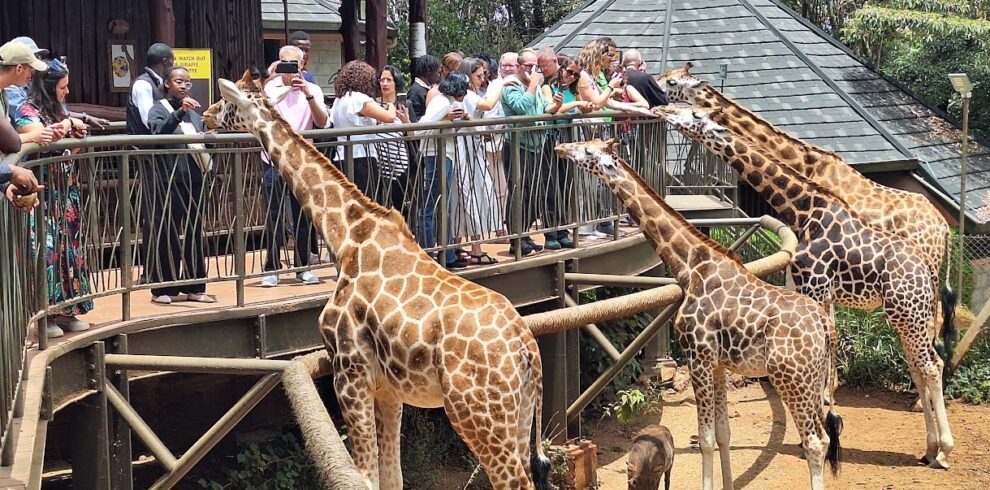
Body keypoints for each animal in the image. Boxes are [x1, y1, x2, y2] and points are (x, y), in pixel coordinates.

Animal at [204, 71, 551, 490]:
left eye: (227, 101)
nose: (206, 115)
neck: (345, 235)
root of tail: (526, 349)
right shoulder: (388, 388)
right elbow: (392, 477)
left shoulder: (348, 371)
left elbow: (366, 477)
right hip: (519, 412)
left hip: (476, 413)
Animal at [556, 138, 842, 490]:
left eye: (587, 152)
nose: (561, 147)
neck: (690, 266)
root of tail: (825, 326)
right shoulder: (718, 364)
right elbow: (723, 434)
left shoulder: (698, 357)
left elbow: (704, 439)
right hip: (815, 381)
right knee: (825, 435)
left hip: (791, 378)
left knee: (816, 441)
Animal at [655, 105, 955, 469]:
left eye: (690, 115)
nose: (658, 108)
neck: (803, 207)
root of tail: (942, 238)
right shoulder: (818, 291)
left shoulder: (815, 284)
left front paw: (819, 432)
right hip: (909, 312)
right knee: (920, 363)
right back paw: (928, 448)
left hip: (907, 311)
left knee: (930, 364)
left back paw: (943, 449)